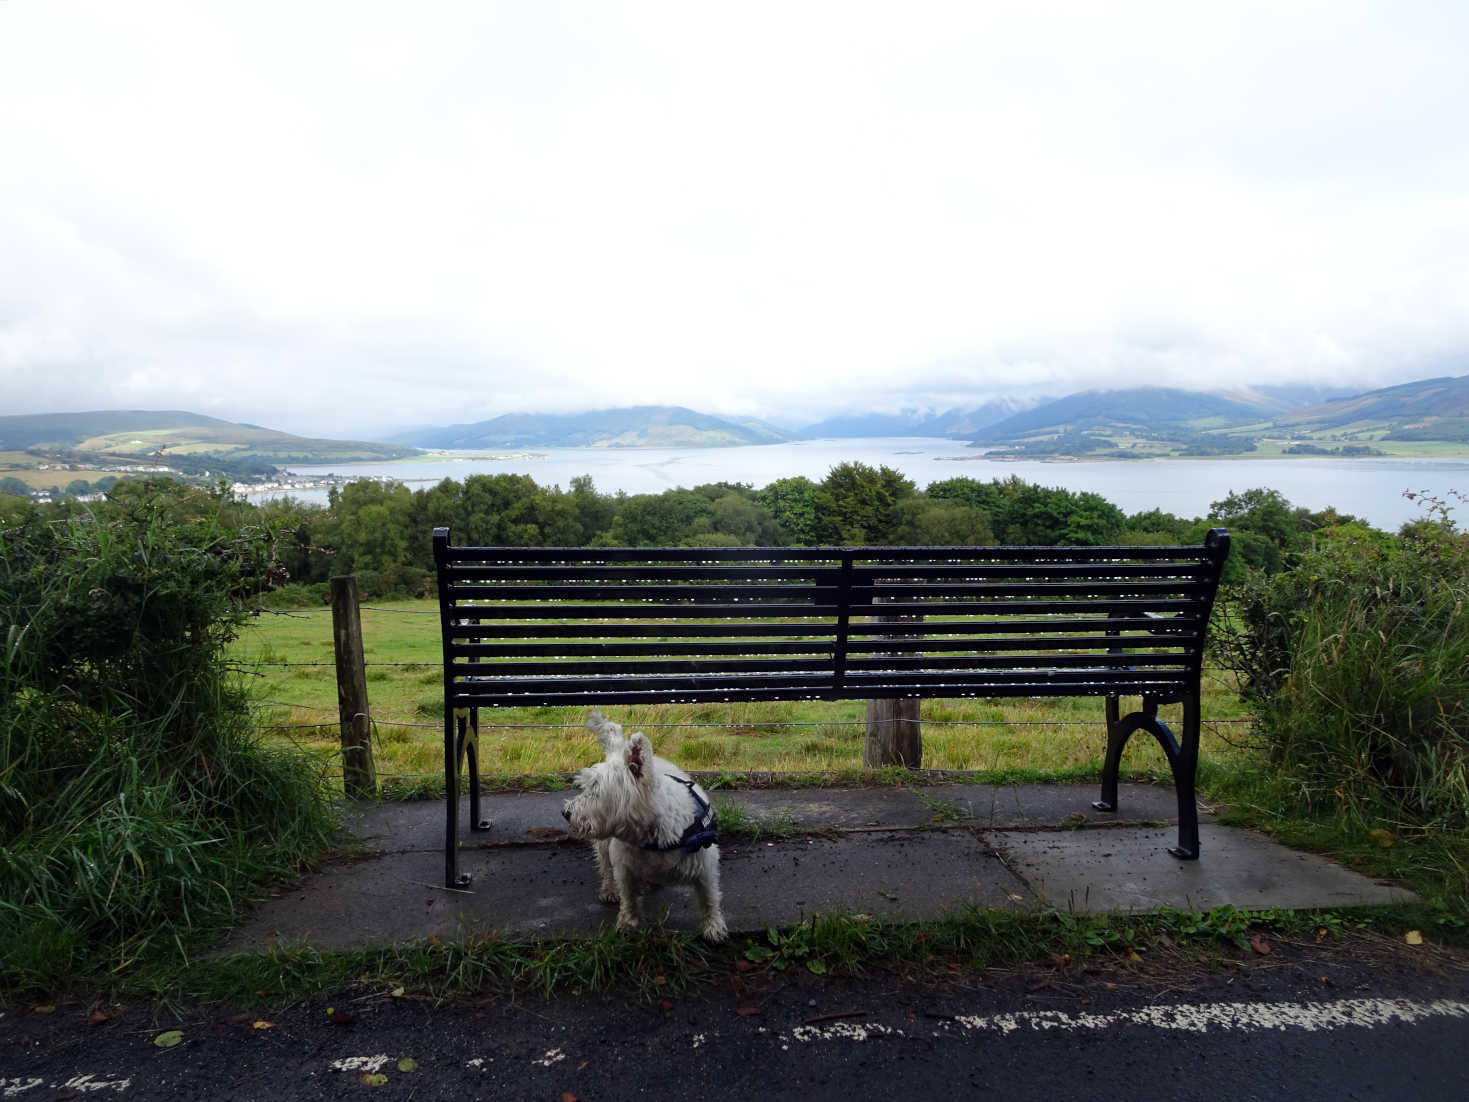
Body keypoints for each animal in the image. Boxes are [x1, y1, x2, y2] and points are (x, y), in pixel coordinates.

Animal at [558, 717, 725, 940]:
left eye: (596, 791)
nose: (565, 812)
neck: (652, 837)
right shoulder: (625, 868)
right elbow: (628, 898)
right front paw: (628, 924)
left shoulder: (704, 867)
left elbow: (709, 898)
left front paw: (713, 927)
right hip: (604, 846)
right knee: (605, 866)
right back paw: (609, 890)